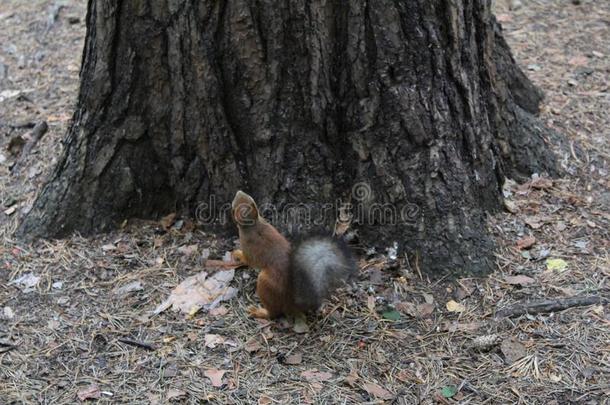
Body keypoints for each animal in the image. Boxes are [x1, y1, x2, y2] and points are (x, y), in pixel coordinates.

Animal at [233, 189, 356, 318]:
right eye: (249, 198)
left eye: (234, 206)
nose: (239, 191)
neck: (254, 224)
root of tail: (294, 302)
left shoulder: (248, 245)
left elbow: (249, 260)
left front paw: (238, 254)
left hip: (266, 283)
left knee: (274, 312)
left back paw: (259, 312)